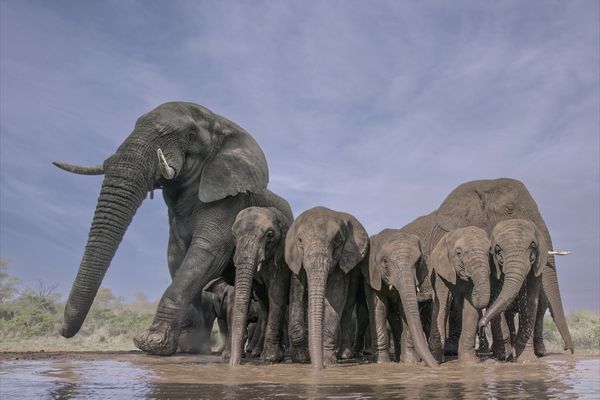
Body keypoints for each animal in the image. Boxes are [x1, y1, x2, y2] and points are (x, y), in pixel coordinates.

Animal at [229, 206, 292, 366]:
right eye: (234, 235)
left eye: (270, 235)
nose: (234, 364)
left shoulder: (283, 256)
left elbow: (277, 292)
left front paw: (270, 359)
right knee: (264, 303)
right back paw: (257, 352)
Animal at [284, 208, 368, 370]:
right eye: (300, 241)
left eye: (338, 240)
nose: (319, 368)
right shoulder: (296, 259)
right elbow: (297, 289)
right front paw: (301, 358)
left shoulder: (342, 259)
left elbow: (336, 294)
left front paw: (328, 360)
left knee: (348, 307)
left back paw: (344, 356)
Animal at [432, 225, 492, 362]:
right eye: (458, 253)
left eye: (488, 252)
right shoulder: (440, 273)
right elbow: (442, 307)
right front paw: (437, 360)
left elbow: (471, 311)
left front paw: (470, 362)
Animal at [480, 219, 548, 362]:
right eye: (498, 251)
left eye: (532, 247)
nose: (481, 326)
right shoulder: (492, 268)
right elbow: (495, 299)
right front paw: (505, 355)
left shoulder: (537, 269)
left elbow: (530, 303)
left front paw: (526, 360)